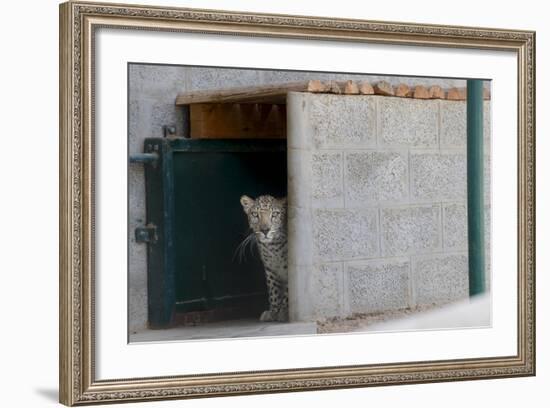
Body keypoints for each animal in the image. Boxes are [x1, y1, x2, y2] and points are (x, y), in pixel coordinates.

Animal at [240, 194, 292, 322]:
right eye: (255, 214)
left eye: (274, 214)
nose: (265, 230)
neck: (273, 246)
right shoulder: (270, 269)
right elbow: (273, 290)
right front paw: (273, 312)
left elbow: (287, 291)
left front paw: (284, 312)